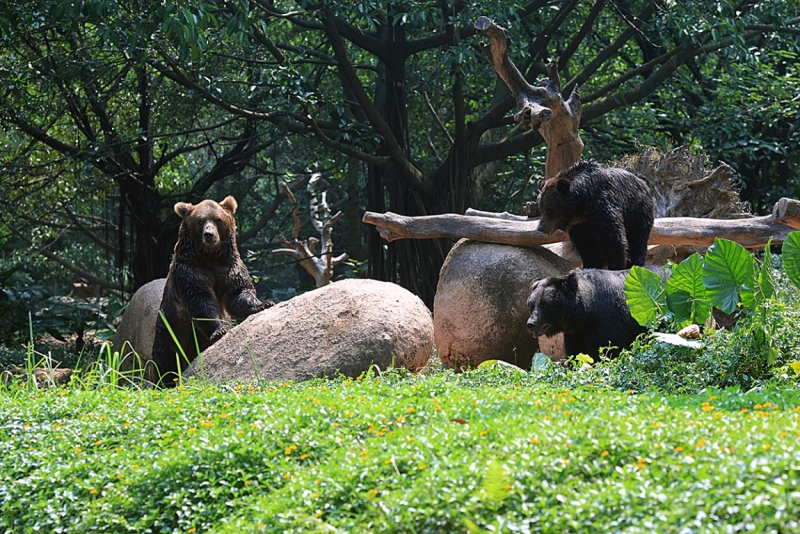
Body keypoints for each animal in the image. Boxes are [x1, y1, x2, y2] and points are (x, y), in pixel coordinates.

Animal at [152, 197, 274, 386]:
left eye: (218, 219)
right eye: (200, 221)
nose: (209, 234)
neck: (210, 257)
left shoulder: (228, 267)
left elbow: (238, 292)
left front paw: (263, 304)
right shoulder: (190, 273)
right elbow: (201, 301)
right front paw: (220, 330)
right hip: (170, 331)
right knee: (166, 361)